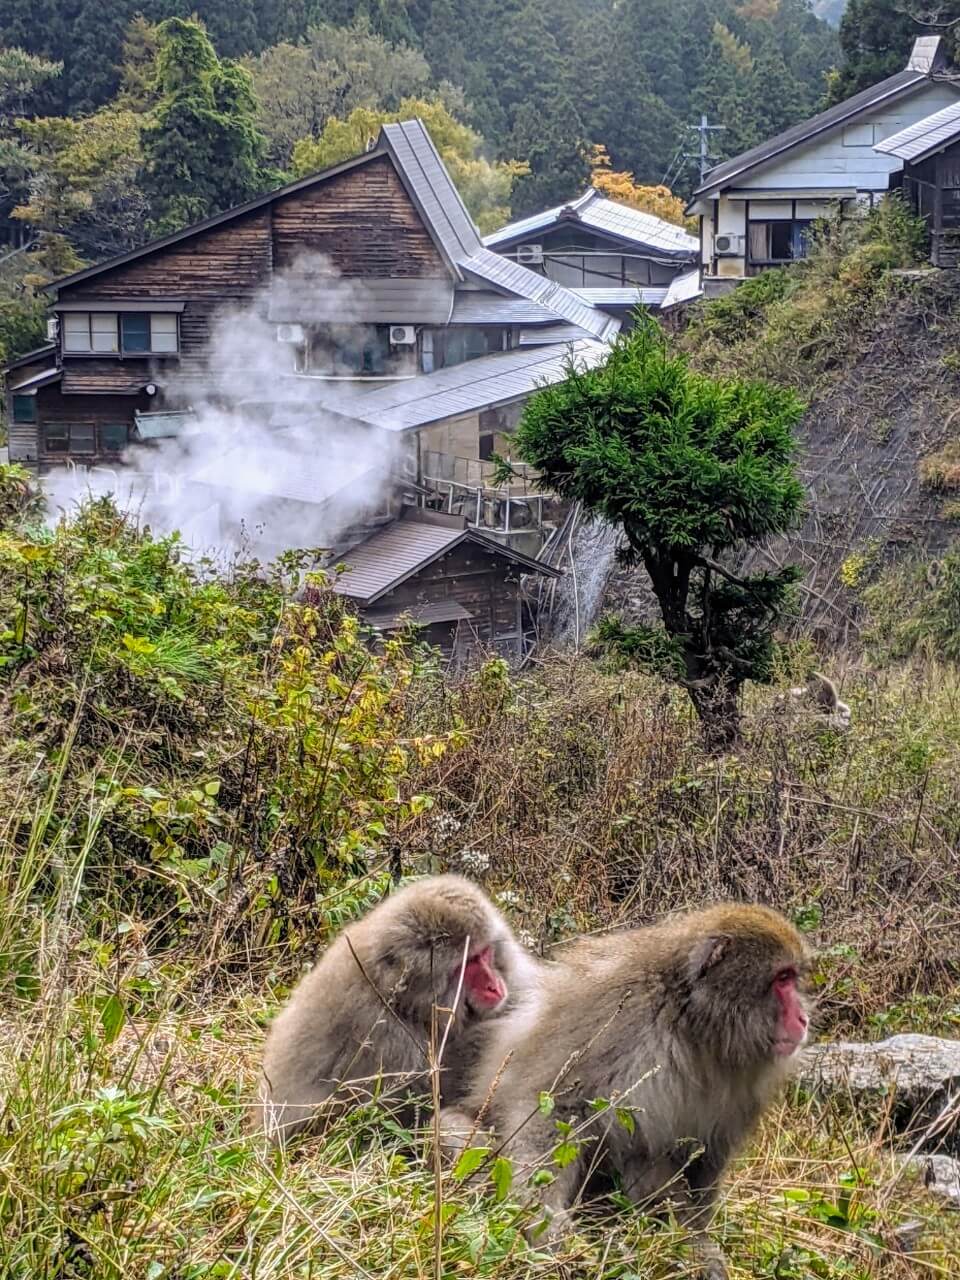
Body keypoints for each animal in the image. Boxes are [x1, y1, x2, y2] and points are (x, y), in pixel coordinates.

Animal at [450, 906, 814, 1274]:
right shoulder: (619, 1017)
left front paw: (697, 1244)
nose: (803, 1018)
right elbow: (553, 1107)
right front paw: (546, 1221)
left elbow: (707, 1156)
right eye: (782, 978)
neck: (694, 1025)